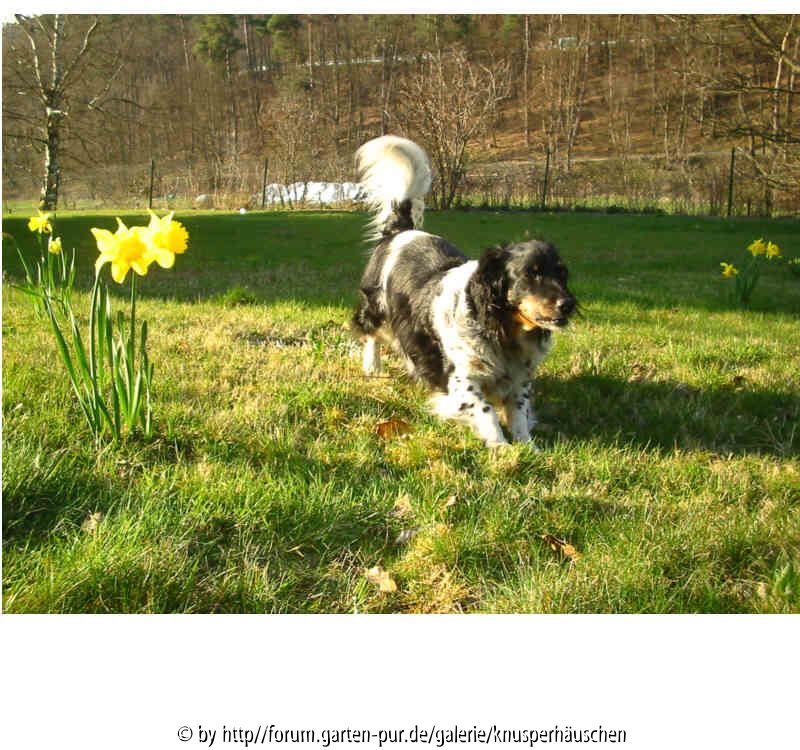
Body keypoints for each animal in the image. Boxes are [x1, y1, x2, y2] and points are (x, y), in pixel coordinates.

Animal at [351, 136, 576, 447]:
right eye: (530, 274)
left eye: (562, 273)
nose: (568, 304)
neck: (502, 331)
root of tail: (401, 232)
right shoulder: (460, 380)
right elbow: (486, 411)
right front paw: (500, 447)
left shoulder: (519, 379)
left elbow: (519, 413)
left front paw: (528, 447)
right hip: (376, 306)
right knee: (371, 332)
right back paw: (372, 365)